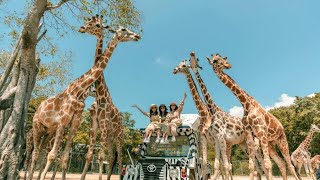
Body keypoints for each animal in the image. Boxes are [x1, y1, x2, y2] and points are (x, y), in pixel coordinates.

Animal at [28, 15, 140, 180]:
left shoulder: (80, 122)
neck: (79, 91)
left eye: (97, 24)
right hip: (39, 126)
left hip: (116, 135)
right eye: (124, 29)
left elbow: (69, 156)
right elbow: (63, 155)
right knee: (36, 154)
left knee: (117, 158)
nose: (137, 36)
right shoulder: (80, 123)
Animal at [189, 51, 268, 179]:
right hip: (244, 144)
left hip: (254, 144)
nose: (228, 64)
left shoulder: (220, 139)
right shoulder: (216, 140)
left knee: (260, 164)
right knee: (257, 166)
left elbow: (225, 165)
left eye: (196, 60)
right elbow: (218, 165)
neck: (211, 110)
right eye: (215, 60)